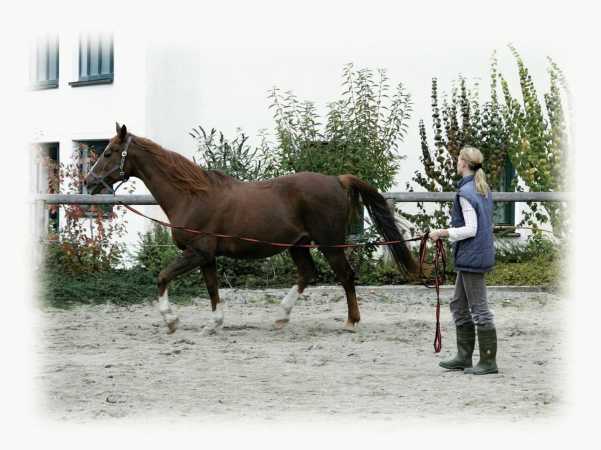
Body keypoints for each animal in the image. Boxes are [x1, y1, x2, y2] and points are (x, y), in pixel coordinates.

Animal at [84, 123, 420, 334]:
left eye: (108, 152)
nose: (88, 182)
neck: (191, 195)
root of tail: (338, 179)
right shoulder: (207, 257)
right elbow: (212, 289)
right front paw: (214, 324)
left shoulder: (197, 252)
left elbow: (162, 277)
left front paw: (171, 321)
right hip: (298, 245)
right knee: (308, 273)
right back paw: (281, 318)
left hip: (329, 244)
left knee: (346, 277)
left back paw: (350, 322)